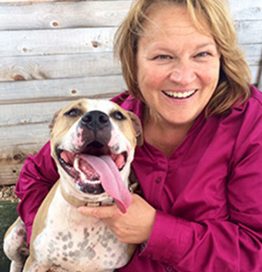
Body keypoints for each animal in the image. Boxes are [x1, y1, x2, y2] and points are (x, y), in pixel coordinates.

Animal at [3, 98, 142, 272]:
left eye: (118, 115)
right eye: (72, 112)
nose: (96, 118)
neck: (87, 207)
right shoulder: (36, 262)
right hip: (12, 239)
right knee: (16, 261)